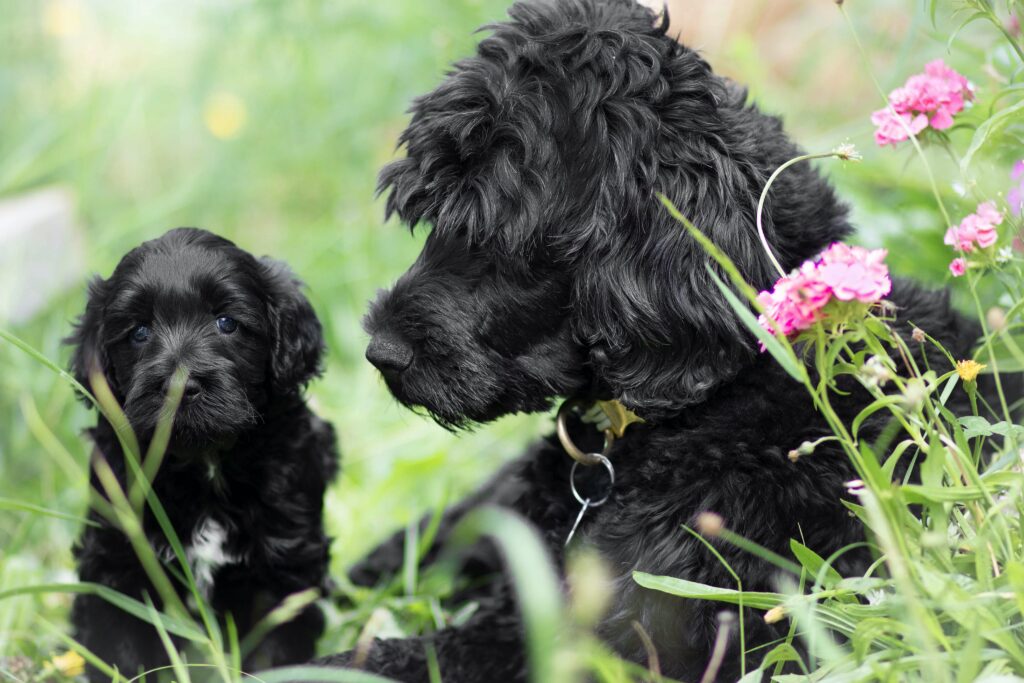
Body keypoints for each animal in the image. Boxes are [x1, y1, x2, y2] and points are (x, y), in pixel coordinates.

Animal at [69, 228, 339, 679]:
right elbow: (123, 648)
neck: (205, 462)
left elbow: (274, 653)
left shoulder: (284, 568)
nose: (180, 386)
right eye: (139, 332)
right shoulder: (119, 560)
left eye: (226, 322)